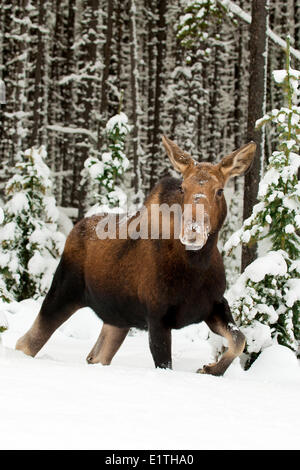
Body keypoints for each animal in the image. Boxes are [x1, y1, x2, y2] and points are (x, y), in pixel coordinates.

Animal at [15, 135, 255, 374]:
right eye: (183, 188)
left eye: (220, 190)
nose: (192, 232)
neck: (196, 265)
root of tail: (77, 227)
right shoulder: (157, 318)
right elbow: (166, 365)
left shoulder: (214, 304)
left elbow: (239, 339)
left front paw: (211, 368)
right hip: (63, 293)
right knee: (25, 343)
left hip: (117, 318)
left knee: (96, 356)